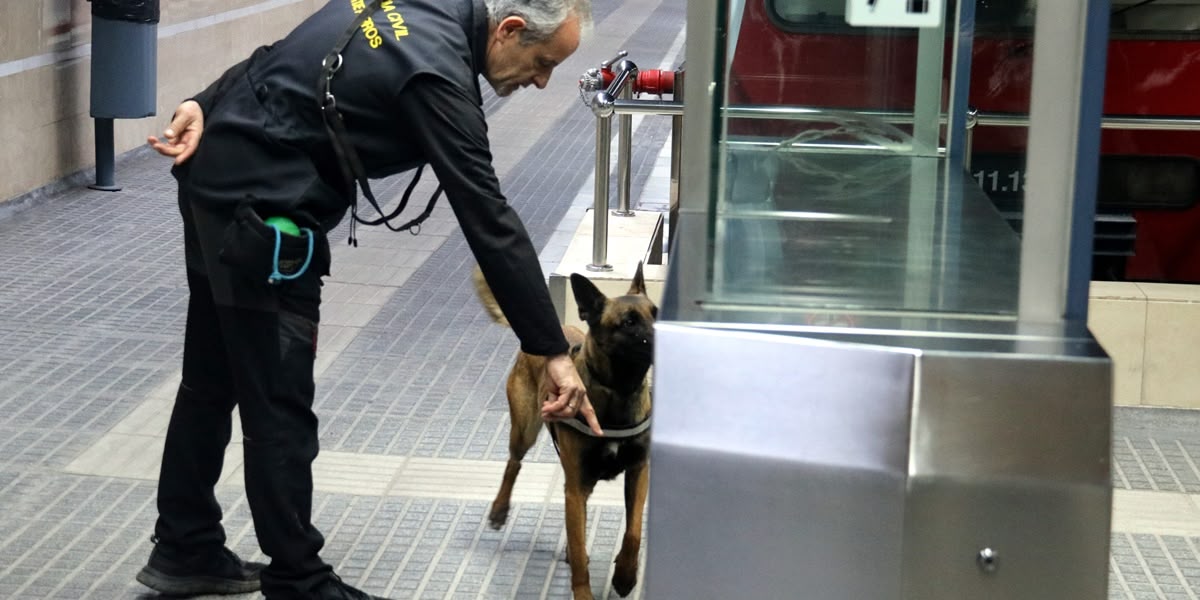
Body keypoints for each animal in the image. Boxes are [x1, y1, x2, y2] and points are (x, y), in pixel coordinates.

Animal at [472, 264, 657, 600]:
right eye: (628, 322)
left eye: (656, 313)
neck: (618, 391)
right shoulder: (577, 485)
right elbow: (580, 550)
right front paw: (584, 591)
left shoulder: (639, 472)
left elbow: (634, 531)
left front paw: (625, 574)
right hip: (525, 431)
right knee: (513, 464)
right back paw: (500, 509)